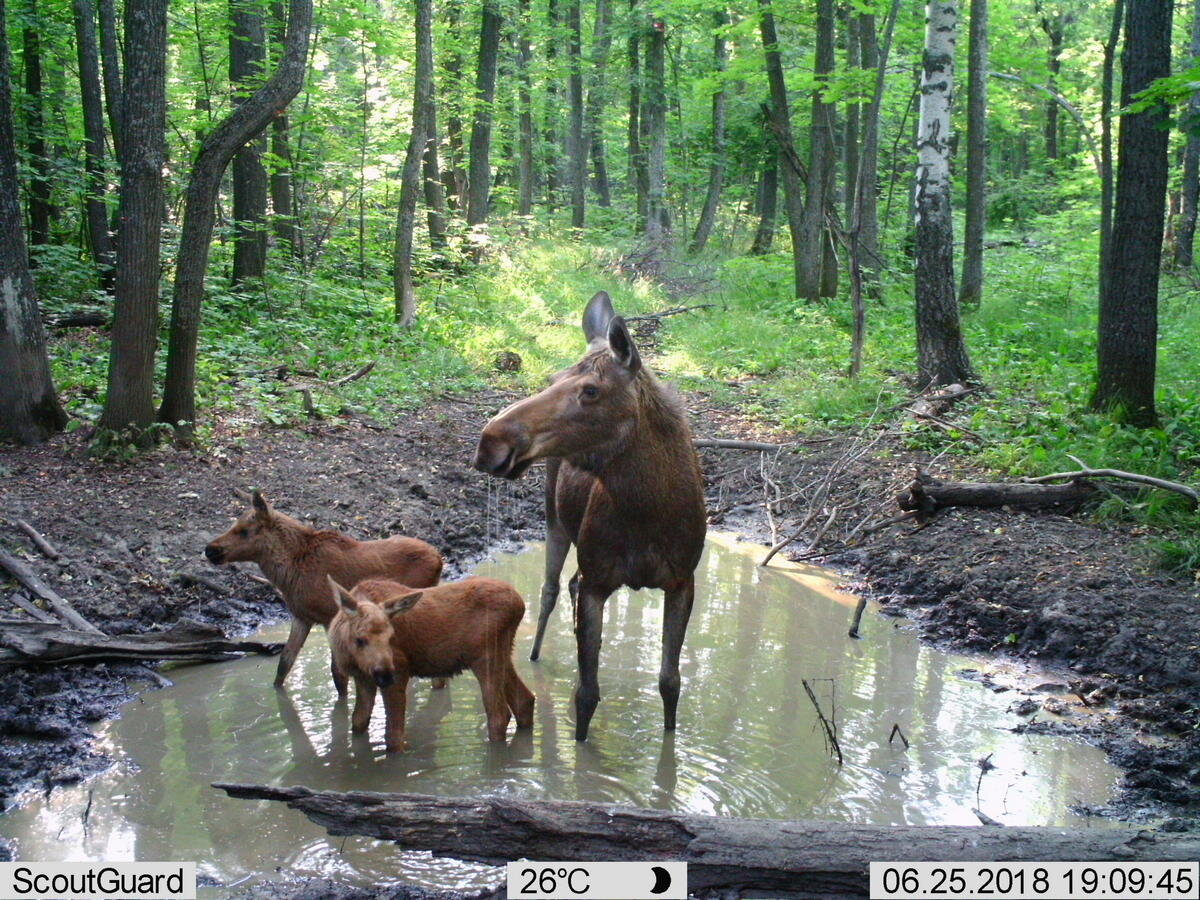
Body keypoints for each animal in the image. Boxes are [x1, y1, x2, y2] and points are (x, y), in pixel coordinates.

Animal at [204, 494, 444, 696]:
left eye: (244, 530)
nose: (210, 549)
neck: (288, 572)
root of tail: (440, 559)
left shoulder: (330, 618)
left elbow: (338, 675)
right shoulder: (302, 617)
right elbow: (285, 663)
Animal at [328, 578, 535, 753]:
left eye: (391, 637)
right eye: (360, 639)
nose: (386, 675)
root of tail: (520, 604)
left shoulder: (400, 671)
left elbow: (394, 737)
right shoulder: (363, 678)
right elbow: (357, 721)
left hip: (486, 657)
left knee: (499, 714)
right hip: (502, 653)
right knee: (524, 700)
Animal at [472, 292, 705, 744]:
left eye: (591, 390)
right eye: (552, 377)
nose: (491, 441)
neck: (647, 513)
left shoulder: (682, 581)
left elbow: (670, 684)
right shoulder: (599, 582)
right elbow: (586, 695)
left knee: (570, 584)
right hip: (554, 519)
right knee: (549, 590)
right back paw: (535, 654)